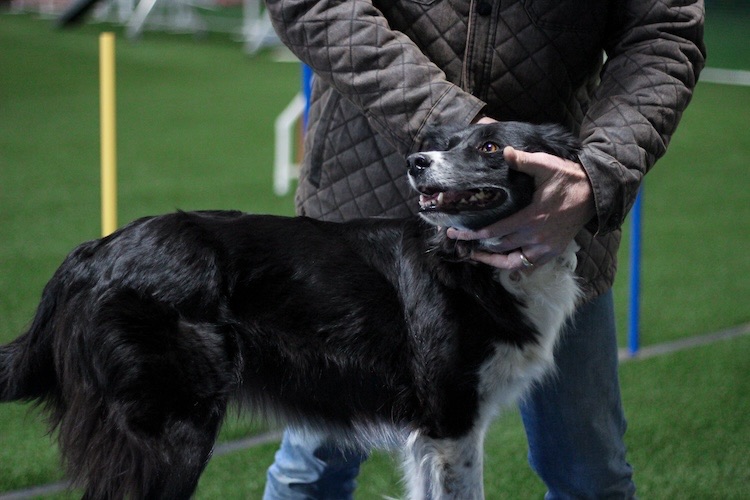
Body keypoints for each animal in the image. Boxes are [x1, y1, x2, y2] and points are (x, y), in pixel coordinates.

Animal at [0, 122, 584, 500]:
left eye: (488, 145)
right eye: (445, 145)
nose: (415, 164)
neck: (476, 262)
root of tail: (92, 253)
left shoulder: (432, 434)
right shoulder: (452, 419)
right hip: (172, 426)